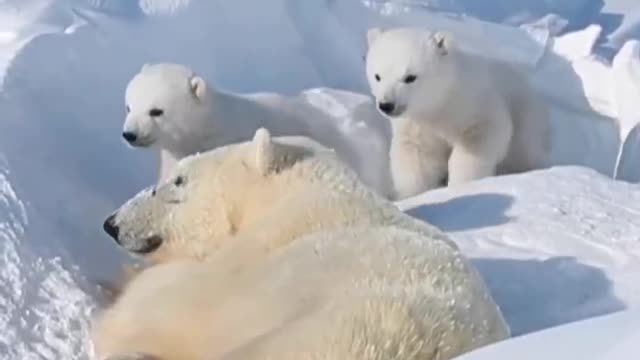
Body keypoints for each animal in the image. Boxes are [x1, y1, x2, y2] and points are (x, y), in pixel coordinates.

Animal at [364, 26, 552, 200]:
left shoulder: (473, 104)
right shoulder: (418, 124)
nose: (387, 105)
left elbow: (481, 138)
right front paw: (411, 195)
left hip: (525, 118)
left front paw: (460, 186)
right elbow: (416, 157)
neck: (440, 102)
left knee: (526, 151)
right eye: (377, 76)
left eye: (410, 77)